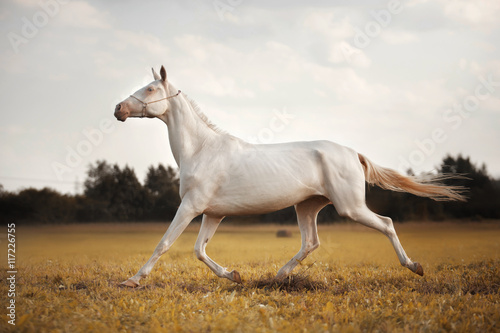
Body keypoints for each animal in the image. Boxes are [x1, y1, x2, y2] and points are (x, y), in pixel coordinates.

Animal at [114, 66, 464, 286]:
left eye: (150, 88)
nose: (119, 109)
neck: (201, 150)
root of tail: (353, 153)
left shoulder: (190, 206)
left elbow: (164, 244)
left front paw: (132, 280)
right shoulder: (212, 213)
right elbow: (200, 251)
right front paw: (235, 276)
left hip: (349, 207)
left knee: (387, 224)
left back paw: (415, 267)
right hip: (307, 206)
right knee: (311, 242)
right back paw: (280, 276)